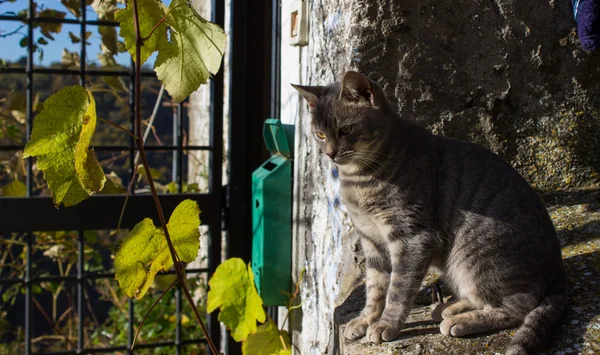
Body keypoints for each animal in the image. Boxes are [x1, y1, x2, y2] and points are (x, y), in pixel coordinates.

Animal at [290, 72, 568, 355]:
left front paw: (386, 324)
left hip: (474, 254)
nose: (330, 153)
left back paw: (460, 320)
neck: (359, 181)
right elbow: (375, 288)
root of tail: (558, 272)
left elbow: (398, 290)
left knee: (521, 304)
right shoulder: (372, 241)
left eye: (346, 130)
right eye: (320, 134)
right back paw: (449, 307)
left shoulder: (411, 238)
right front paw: (365, 319)